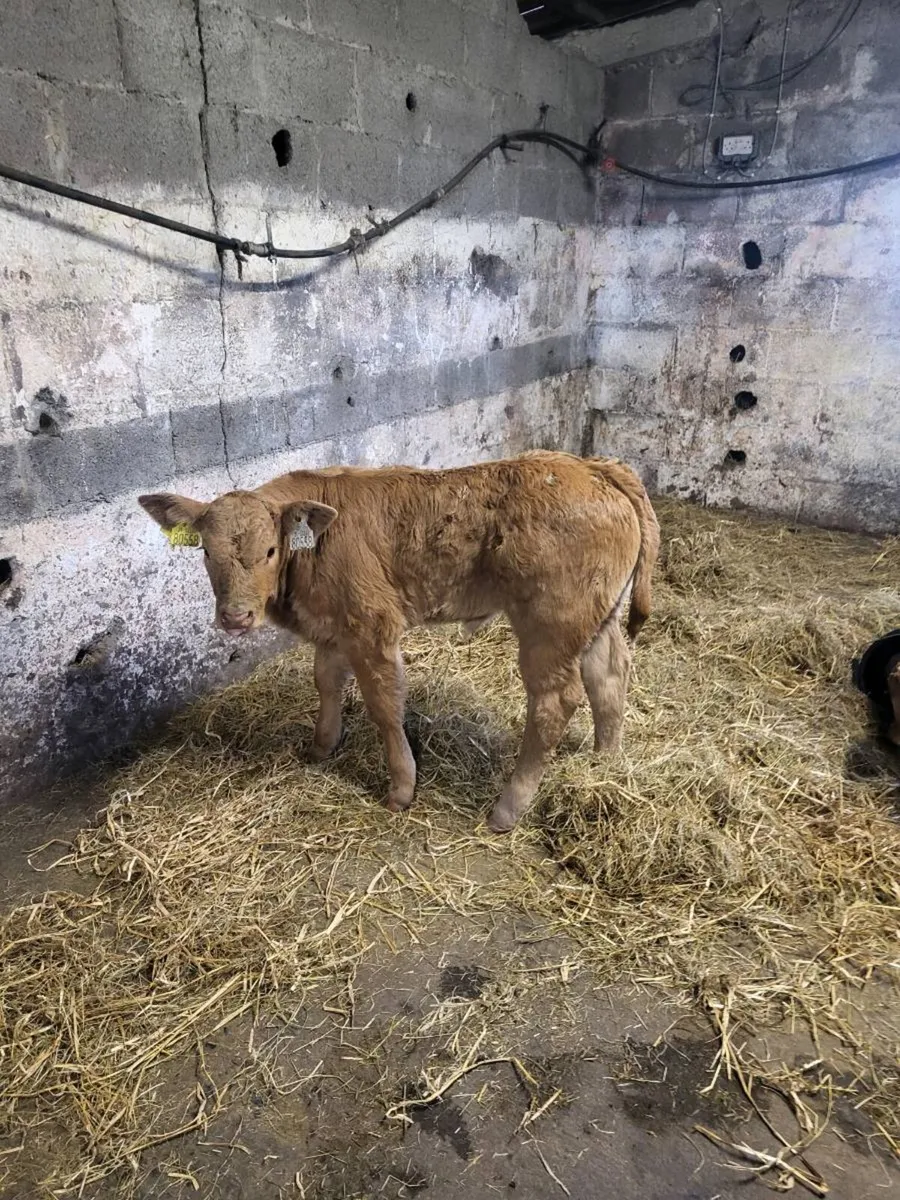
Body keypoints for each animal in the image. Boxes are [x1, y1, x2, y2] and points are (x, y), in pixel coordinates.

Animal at [139, 451, 659, 832]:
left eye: (269, 550)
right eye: (207, 552)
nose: (235, 616)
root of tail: (592, 466)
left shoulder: (372, 625)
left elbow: (385, 704)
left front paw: (401, 790)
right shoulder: (334, 626)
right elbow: (326, 682)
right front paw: (321, 748)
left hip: (550, 623)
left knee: (556, 701)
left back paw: (507, 809)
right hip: (597, 616)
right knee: (609, 676)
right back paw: (605, 765)